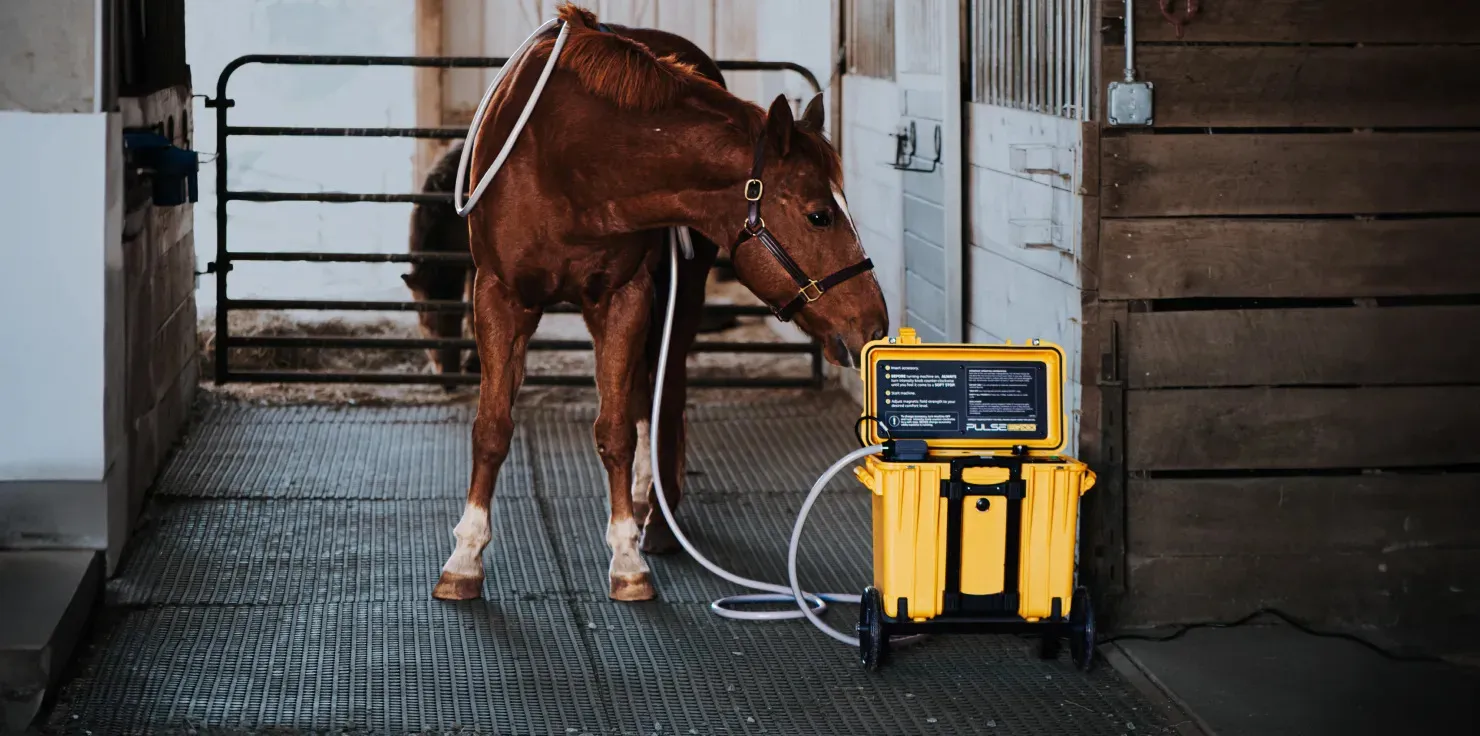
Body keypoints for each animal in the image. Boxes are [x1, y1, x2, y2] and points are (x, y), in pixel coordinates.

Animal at [433, 3, 889, 604]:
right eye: (820, 214)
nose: (874, 323)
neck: (567, 156)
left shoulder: (625, 297)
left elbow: (616, 430)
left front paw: (627, 559)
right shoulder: (498, 296)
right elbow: (491, 427)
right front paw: (464, 558)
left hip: (681, 294)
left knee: (663, 395)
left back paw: (659, 517)